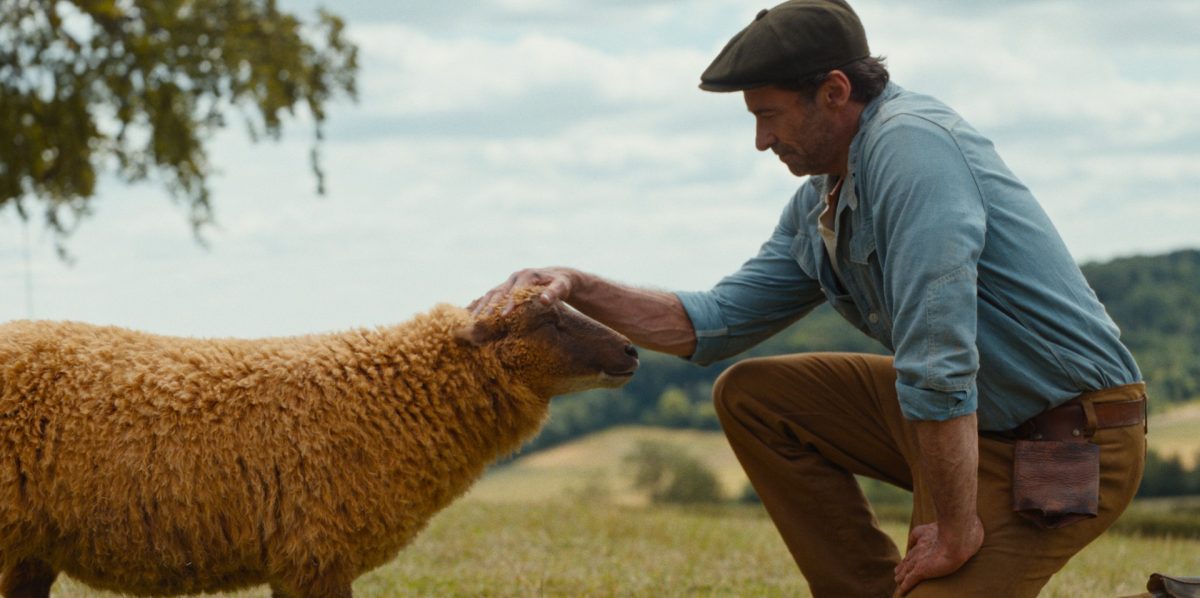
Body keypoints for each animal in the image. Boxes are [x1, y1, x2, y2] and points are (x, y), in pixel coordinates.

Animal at [0, 287, 639, 598]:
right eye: (548, 320)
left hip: (30, 550)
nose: (632, 351)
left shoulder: (300, 563)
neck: (385, 398)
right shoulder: (317, 553)